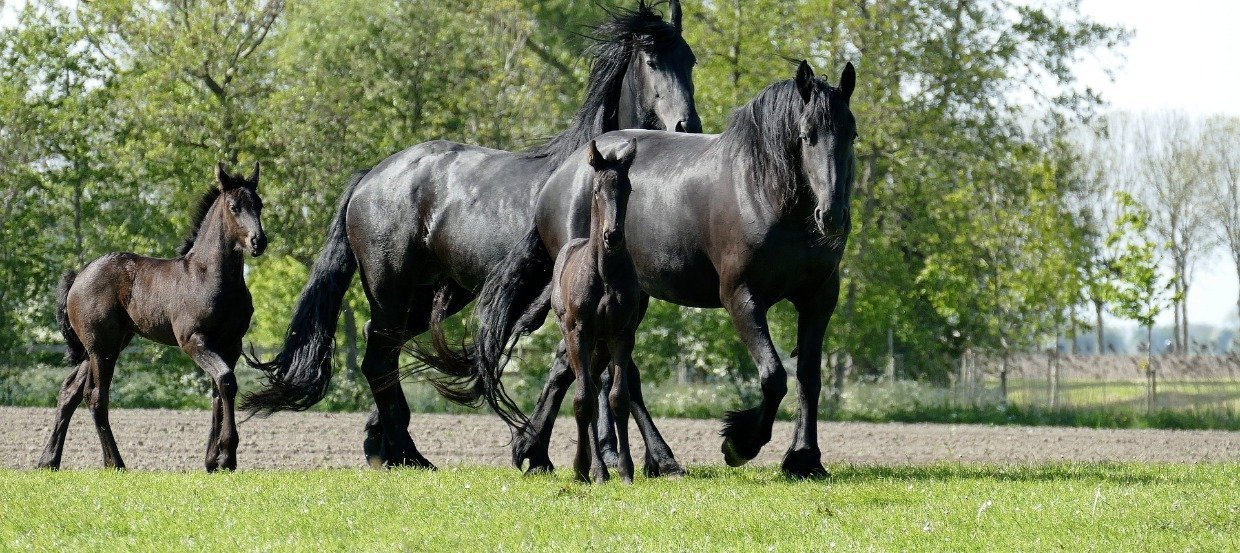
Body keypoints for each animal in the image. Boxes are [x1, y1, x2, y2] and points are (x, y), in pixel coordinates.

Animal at [39, 162, 269, 473]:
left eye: (259, 205)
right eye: (234, 207)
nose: (259, 241)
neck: (210, 275)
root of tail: (78, 276)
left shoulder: (231, 344)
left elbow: (218, 391)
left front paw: (214, 460)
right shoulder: (193, 340)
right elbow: (226, 380)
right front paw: (227, 455)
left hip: (107, 344)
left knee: (70, 391)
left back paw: (48, 460)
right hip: (102, 347)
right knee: (96, 396)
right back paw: (115, 463)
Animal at [553, 139, 639, 483]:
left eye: (627, 188)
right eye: (597, 190)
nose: (612, 235)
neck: (604, 275)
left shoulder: (622, 333)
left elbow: (618, 398)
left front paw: (627, 470)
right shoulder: (579, 331)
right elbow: (582, 399)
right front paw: (581, 468)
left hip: (601, 345)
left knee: (594, 383)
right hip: (576, 337)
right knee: (585, 388)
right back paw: (595, 469)